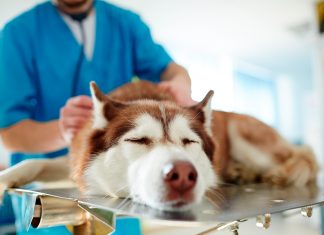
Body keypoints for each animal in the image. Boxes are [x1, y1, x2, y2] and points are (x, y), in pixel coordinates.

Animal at [0, 81, 318, 211]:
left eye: (189, 142)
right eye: (138, 140)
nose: (182, 176)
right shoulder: (76, 161)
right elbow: (36, 161)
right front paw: (7, 176)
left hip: (244, 134)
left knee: (303, 159)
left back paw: (276, 172)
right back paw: (242, 173)